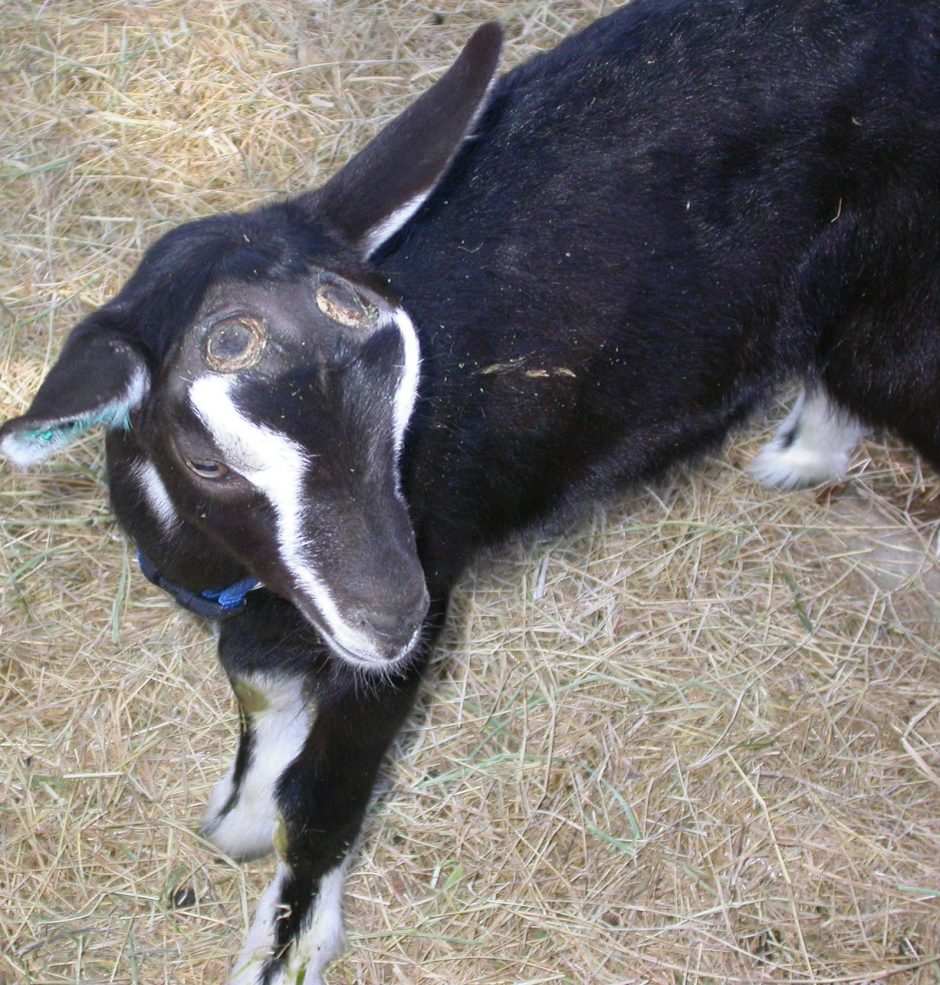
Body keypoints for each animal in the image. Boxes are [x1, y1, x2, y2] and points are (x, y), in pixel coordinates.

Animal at [2, 0, 939, 982]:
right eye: (208, 460)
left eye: (408, 392)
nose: (391, 617)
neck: (233, 575)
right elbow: (259, 691)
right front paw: (240, 817)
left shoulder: (421, 596)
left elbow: (325, 793)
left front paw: (284, 947)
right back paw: (803, 452)